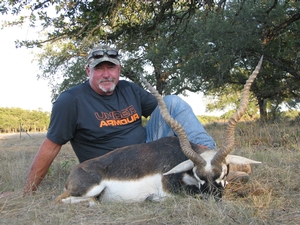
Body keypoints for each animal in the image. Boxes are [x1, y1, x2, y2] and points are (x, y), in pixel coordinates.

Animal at [55, 56, 262, 204]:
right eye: (198, 175)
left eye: (223, 172)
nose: (211, 199)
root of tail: (73, 174)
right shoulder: (174, 189)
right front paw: (153, 198)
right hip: (89, 190)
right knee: (66, 200)